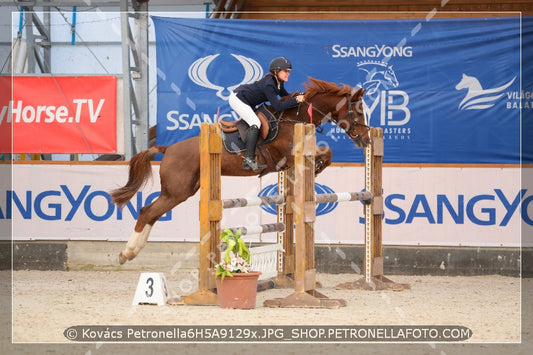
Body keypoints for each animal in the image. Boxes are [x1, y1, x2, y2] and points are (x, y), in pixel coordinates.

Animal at [111, 78, 370, 264]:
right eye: (358, 112)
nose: (366, 140)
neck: (293, 119)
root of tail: (168, 148)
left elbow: (327, 152)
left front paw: (315, 169)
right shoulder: (286, 155)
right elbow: (322, 153)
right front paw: (316, 168)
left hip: (182, 191)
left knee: (152, 214)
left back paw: (131, 252)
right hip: (177, 190)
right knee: (146, 212)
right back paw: (126, 253)